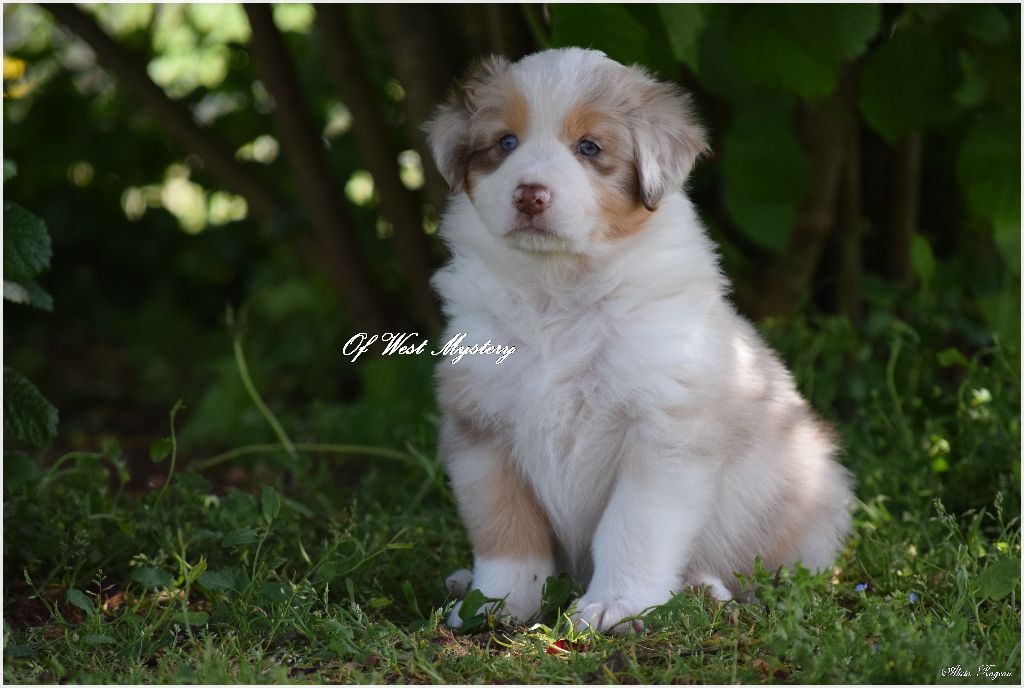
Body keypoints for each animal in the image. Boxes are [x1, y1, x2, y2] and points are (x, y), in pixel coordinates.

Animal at [425, 48, 853, 634]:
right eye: (506, 143)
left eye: (589, 148)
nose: (530, 194)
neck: (559, 292)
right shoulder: (483, 427)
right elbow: (506, 533)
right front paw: (494, 605)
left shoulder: (663, 433)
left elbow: (633, 530)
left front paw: (614, 608)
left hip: (807, 492)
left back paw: (703, 590)